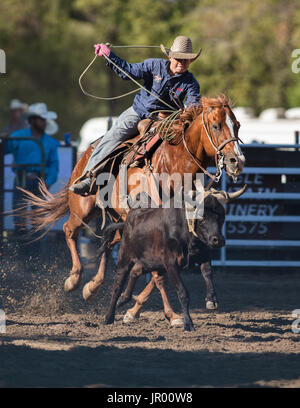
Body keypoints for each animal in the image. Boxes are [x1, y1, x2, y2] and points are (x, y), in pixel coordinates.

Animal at [18, 95, 245, 326]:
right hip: (82, 209)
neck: (172, 164)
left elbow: (157, 271)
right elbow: (158, 274)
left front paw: (141, 311)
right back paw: (74, 279)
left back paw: (93, 286)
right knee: (69, 230)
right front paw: (167, 314)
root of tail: (87, 151)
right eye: (216, 125)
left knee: (109, 242)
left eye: (237, 125)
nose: (237, 161)